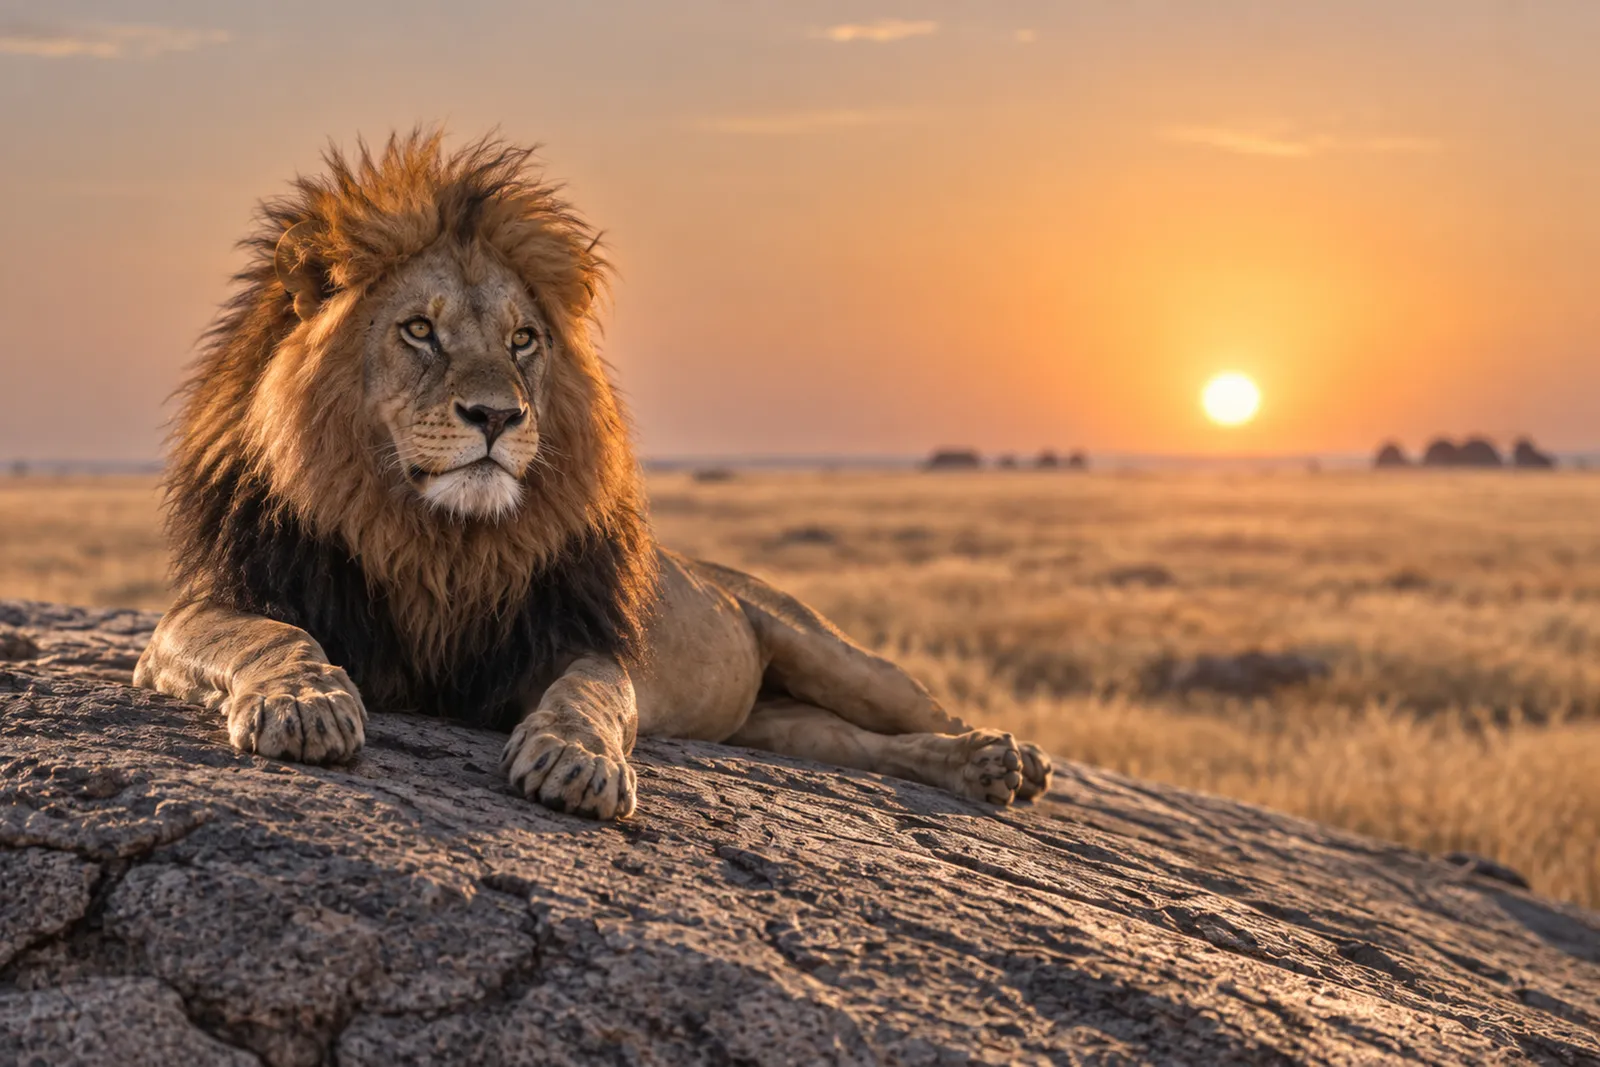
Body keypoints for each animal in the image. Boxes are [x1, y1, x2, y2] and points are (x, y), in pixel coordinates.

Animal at [134, 131, 1053, 820]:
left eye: (523, 340)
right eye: (419, 329)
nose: (497, 417)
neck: (432, 538)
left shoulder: (570, 636)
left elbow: (592, 695)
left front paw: (575, 762)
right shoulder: (202, 610)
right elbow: (273, 636)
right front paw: (307, 701)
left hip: (830, 651)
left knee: (918, 709)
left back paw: (1000, 759)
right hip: (773, 723)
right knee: (856, 746)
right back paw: (978, 770)